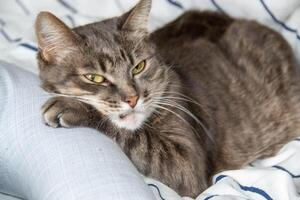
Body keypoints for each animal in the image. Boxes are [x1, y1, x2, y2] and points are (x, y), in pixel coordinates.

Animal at [34, 0, 300, 197]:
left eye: (139, 67)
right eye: (95, 78)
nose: (133, 98)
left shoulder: (186, 164)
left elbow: (138, 138)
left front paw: (71, 107)